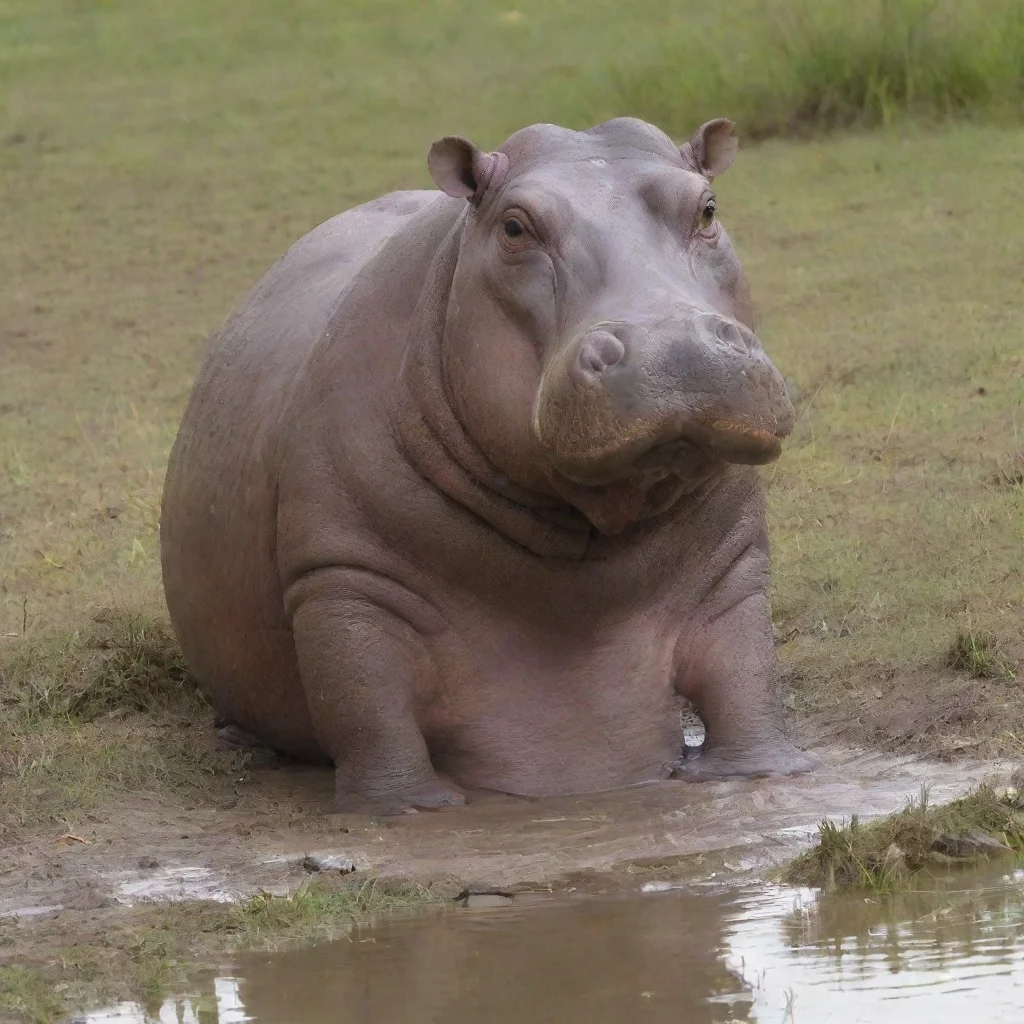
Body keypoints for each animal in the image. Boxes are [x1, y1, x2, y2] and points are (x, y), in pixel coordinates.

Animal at [160, 116, 818, 813]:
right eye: (514, 226)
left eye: (708, 207)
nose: (675, 349)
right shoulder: (342, 577)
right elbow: (366, 701)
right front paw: (408, 808)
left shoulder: (733, 568)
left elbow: (745, 672)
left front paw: (763, 772)